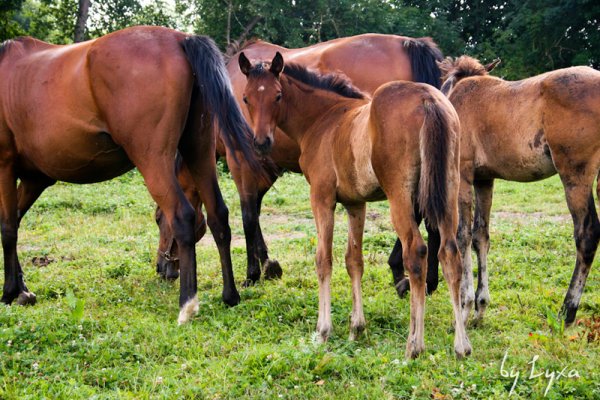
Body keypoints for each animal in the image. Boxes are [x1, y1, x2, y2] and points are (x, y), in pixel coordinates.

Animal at [0, 25, 262, 324]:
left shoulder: (6, 167)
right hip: (199, 152)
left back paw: (187, 304)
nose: (162, 267)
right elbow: (14, 221)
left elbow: (7, 228)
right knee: (218, 215)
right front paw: (21, 289)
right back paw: (230, 296)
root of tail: (181, 39)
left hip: (153, 160)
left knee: (182, 216)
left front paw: (9, 291)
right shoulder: (35, 179)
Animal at [155, 32, 446, 296]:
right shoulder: (266, 166)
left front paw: (252, 273)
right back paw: (425, 279)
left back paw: (403, 271)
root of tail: (411, 44)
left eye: (159, 220)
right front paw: (268, 263)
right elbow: (256, 212)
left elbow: (248, 216)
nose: (162, 268)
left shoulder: (241, 163)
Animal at [237, 52, 472, 360]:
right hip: (447, 190)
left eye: (277, 96)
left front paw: (323, 330)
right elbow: (354, 260)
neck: (323, 119)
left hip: (400, 196)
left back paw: (414, 344)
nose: (262, 142)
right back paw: (461, 345)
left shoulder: (322, 198)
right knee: (450, 253)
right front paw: (356, 327)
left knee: (416, 252)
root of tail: (428, 99)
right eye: (246, 98)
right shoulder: (355, 203)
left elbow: (323, 259)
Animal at [436, 55, 600, 324]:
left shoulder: (463, 175)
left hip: (575, 175)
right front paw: (481, 306)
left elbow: (463, 236)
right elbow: (481, 236)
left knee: (586, 235)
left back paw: (567, 310)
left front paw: (465, 305)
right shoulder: (484, 180)